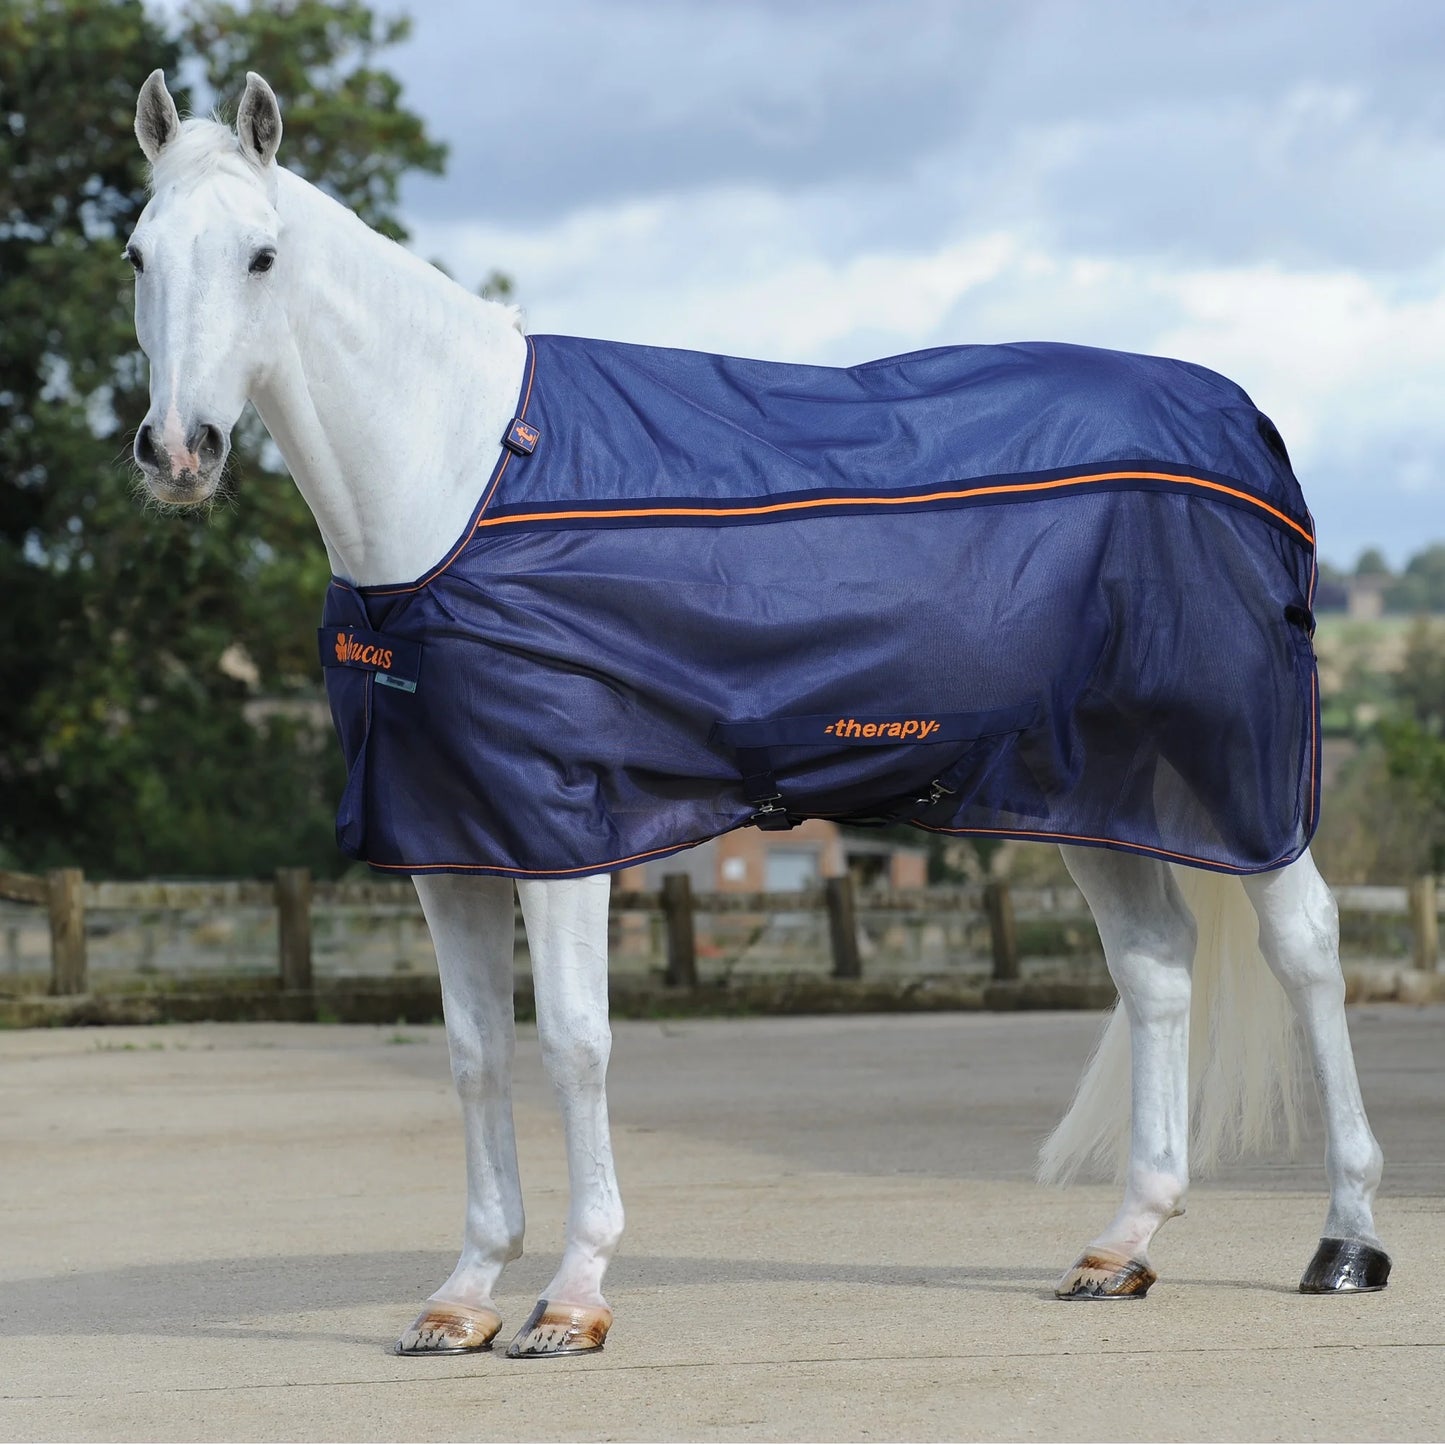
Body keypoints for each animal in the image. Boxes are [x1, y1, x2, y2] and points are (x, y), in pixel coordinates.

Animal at [124, 69, 1391, 1358]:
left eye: (263, 256)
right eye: (138, 254)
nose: (178, 451)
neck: (460, 481)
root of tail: (1245, 427)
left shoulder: (562, 830)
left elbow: (573, 1043)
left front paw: (572, 1294)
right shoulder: (447, 837)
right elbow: (476, 1054)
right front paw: (464, 1292)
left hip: (1235, 765)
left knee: (1304, 947)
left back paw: (1343, 1238)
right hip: (1083, 787)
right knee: (1155, 970)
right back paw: (1119, 1243)